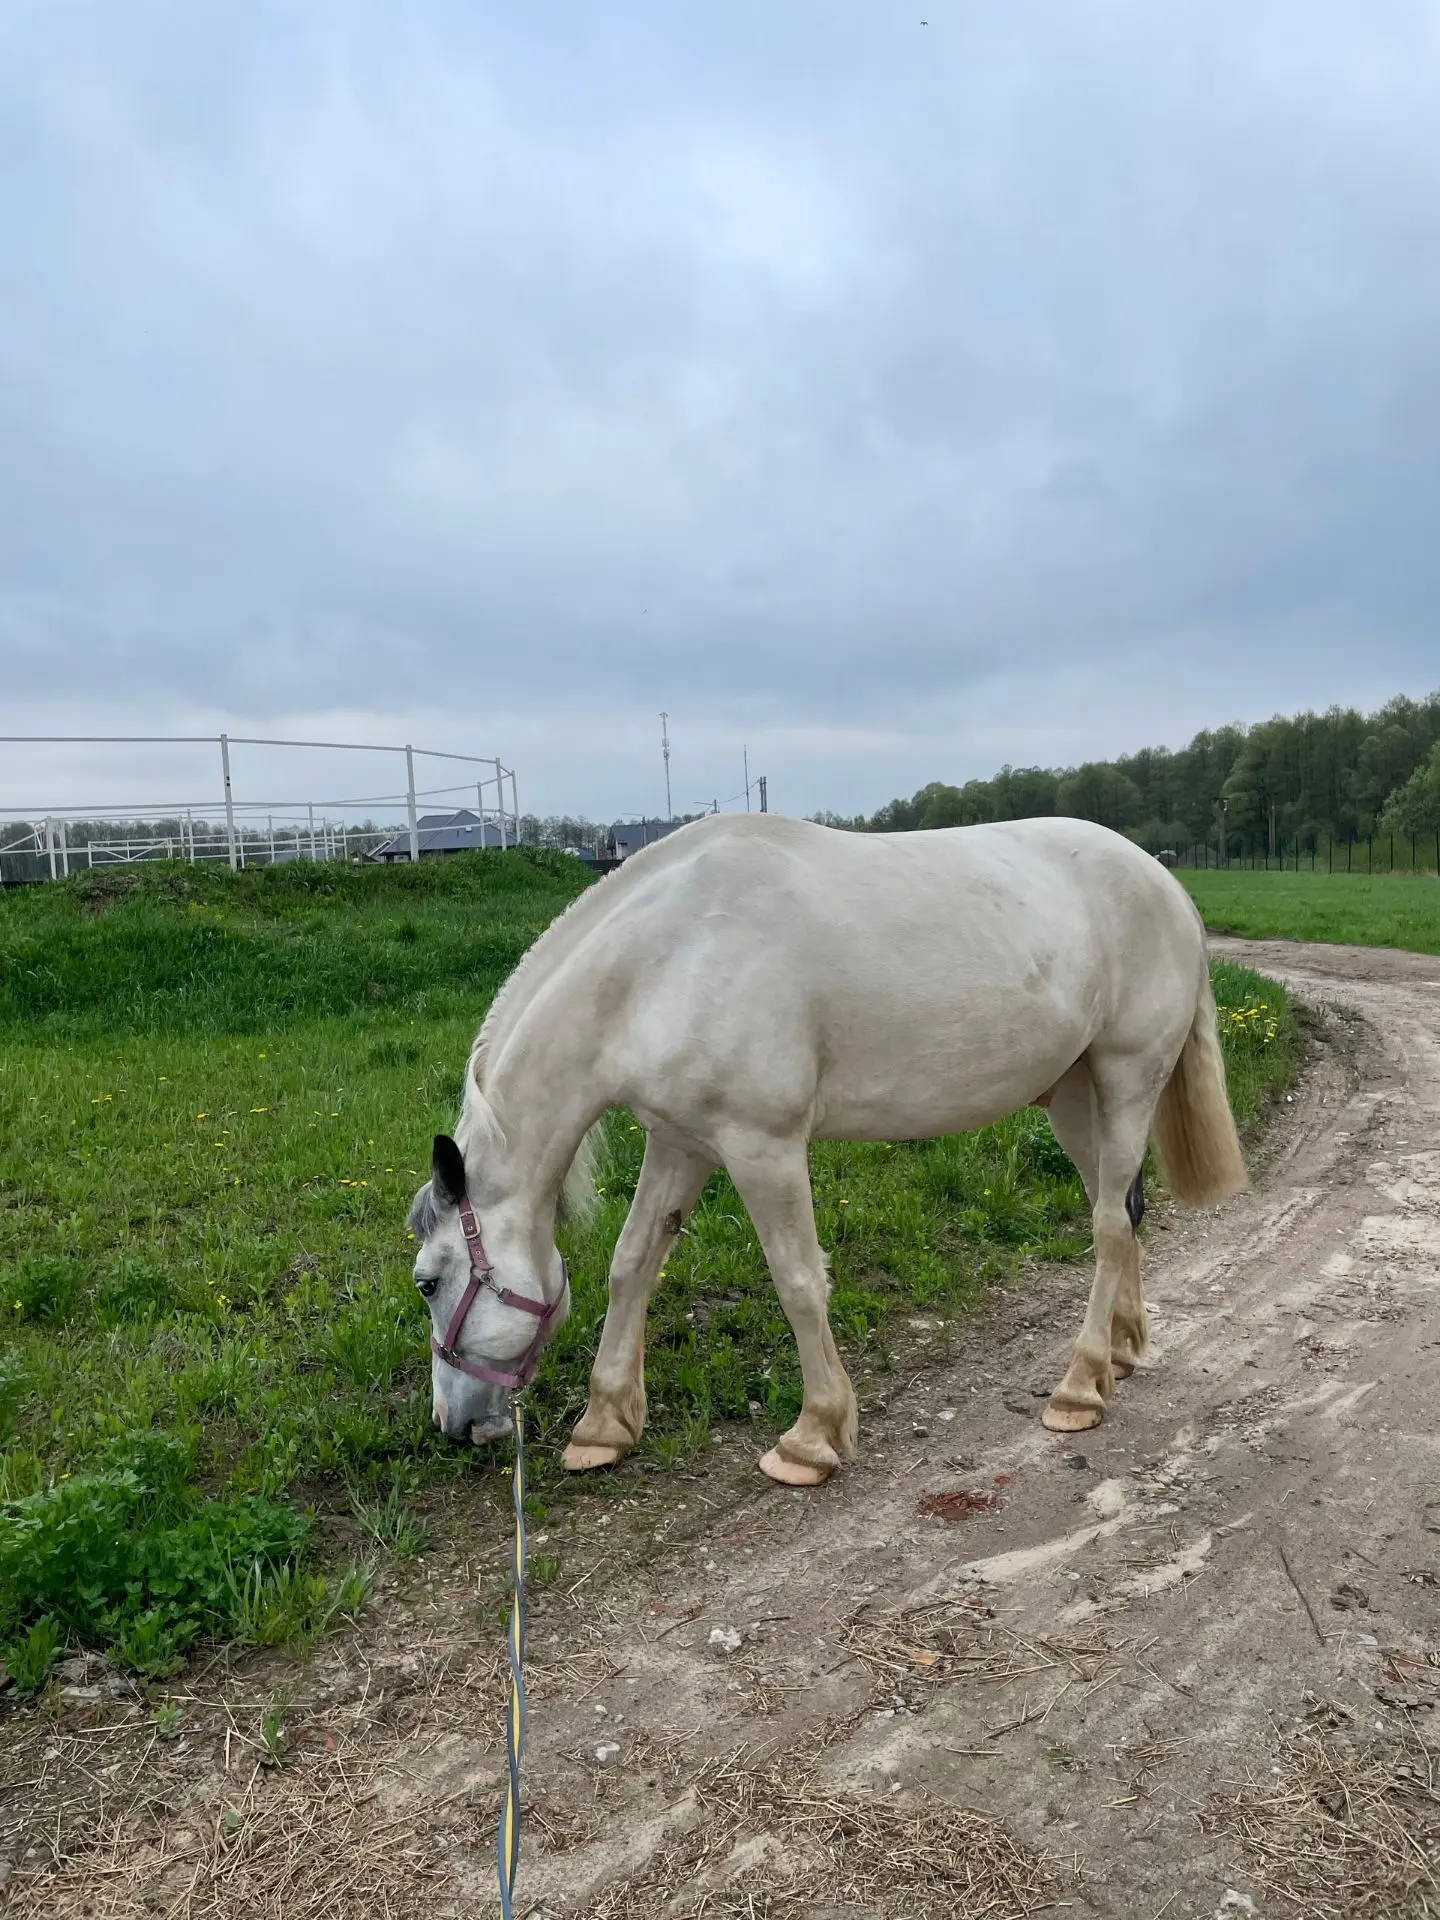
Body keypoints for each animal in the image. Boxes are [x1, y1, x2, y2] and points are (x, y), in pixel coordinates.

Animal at [407, 813, 1247, 1485]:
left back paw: (1078, 1386)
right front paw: (605, 1423)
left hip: (1129, 1078)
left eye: (428, 1282)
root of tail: (1165, 883)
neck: (666, 962)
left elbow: (799, 1281)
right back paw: (1121, 1352)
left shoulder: (763, 1147)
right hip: (1076, 1098)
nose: (452, 1426)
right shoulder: (681, 1142)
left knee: (1106, 1225)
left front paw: (812, 1437)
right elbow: (632, 1264)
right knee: (1122, 1211)